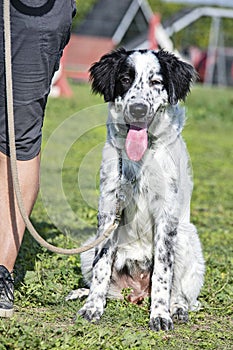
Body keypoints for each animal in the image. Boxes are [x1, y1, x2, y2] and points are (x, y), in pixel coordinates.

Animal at [73, 48, 206, 330]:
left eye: (156, 82)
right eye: (125, 79)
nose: (137, 109)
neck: (140, 158)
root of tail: (137, 292)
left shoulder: (167, 216)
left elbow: (164, 274)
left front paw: (160, 315)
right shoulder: (109, 208)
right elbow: (102, 266)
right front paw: (92, 307)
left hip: (185, 237)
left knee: (181, 293)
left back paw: (177, 308)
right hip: (88, 248)